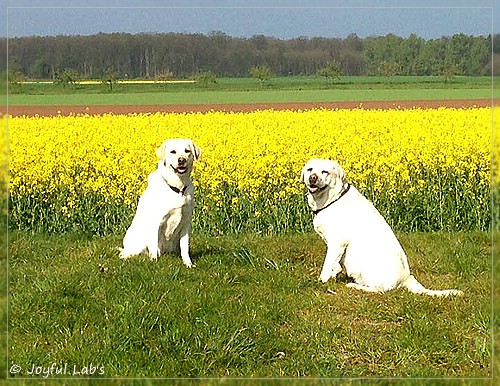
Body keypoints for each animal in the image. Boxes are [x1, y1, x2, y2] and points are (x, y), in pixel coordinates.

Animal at [120, 139, 200, 268]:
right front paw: (154, 261)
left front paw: (188, 263)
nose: (181, 160)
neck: (178, 188)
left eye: (187, 151)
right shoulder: (156, 222)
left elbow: (184, 248)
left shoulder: (186, 223)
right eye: (173, 152)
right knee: (126, 253)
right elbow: (154, 246)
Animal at [298, 158, 462, 298]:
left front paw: (322, 280)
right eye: (310, 169)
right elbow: (335, 265)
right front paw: (334, 273)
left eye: (324, 171)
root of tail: (406, 277)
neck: (332, 199)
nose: (312, 178)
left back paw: (355, 286)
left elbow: (327, 265)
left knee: (380, 290)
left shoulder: (337, 242)